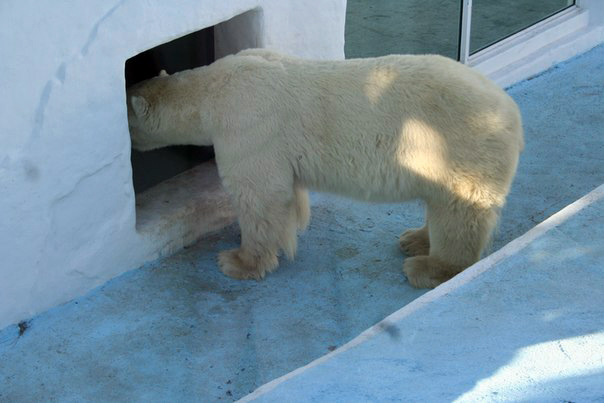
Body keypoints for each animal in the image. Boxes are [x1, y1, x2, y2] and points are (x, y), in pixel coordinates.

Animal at [129, 49, 524, 288]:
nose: (130, 153)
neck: (213, 91)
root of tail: (512, 113)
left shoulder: (247, 125)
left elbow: (259, 197)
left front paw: (238, 261)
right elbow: (287, 193)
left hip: (460, 147)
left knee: (459, 212)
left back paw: (427, 268)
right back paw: (414, 239)